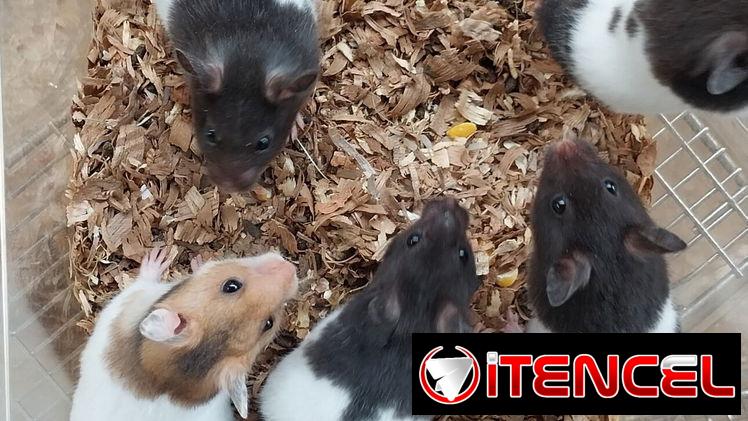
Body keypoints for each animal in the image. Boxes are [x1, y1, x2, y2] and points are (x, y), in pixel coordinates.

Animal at [70, 249, 298, 421]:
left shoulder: (135, 293)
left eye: (269, 322)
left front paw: (160, 256)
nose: (292, 268)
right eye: (231, 285)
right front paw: (170, 257)